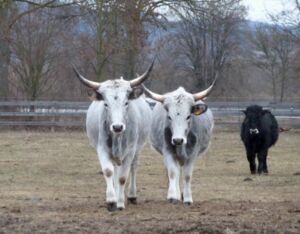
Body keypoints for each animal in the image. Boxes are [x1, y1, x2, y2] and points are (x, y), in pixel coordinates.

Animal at [72, 62, 152, 212]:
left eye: (126, 102)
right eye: (105, 103)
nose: (117, 127)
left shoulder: (131, 150)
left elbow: (122, 177)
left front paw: (120, 203)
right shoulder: (102, 148)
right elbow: (109, 172)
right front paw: (111, 201)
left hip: (137, 149)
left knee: (133, 168)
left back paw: (131, 196)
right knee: (115, 169)